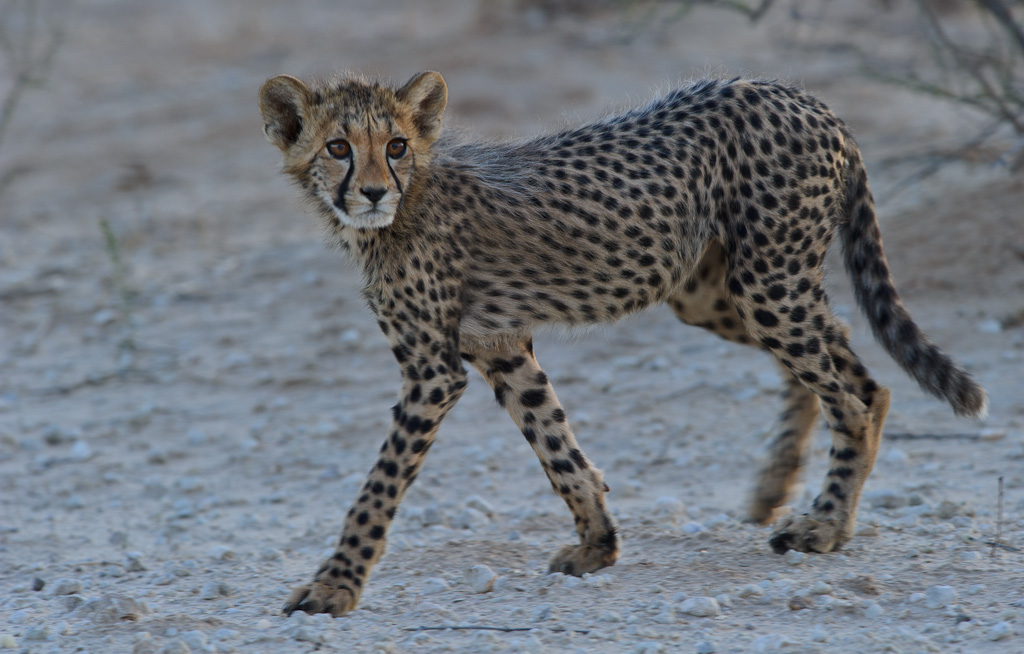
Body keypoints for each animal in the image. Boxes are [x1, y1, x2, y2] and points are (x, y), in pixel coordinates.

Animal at [257, 71, 987, 617]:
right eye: (338, 148)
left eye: (396, 146)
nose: (373, 191)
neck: (400, 209)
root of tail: (804, 98)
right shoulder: (499, 344)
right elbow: (557, 446)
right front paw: (599, 544)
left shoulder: (434, 371)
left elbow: (378, 487)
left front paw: (333, 586)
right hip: (716, 291)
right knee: (854, 370)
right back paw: (780, 486)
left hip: (767, 283)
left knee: (852, 399)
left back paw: (826, 525)